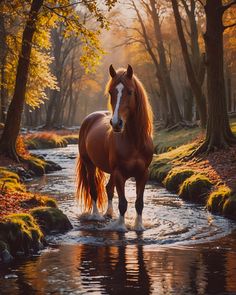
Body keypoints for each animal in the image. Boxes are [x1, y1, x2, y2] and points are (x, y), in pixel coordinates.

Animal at [75, 64, 153, 231]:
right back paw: (96, 215)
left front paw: (138, 226)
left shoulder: (143, 173)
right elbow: (123, 203)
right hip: (90, 165)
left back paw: (109, 213)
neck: (134, 142)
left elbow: (139, 203)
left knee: (108, 189)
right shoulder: (119, 173)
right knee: (94, 190)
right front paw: (121, 227)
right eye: (111, 92)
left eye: (130, 92)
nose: (116, 123)